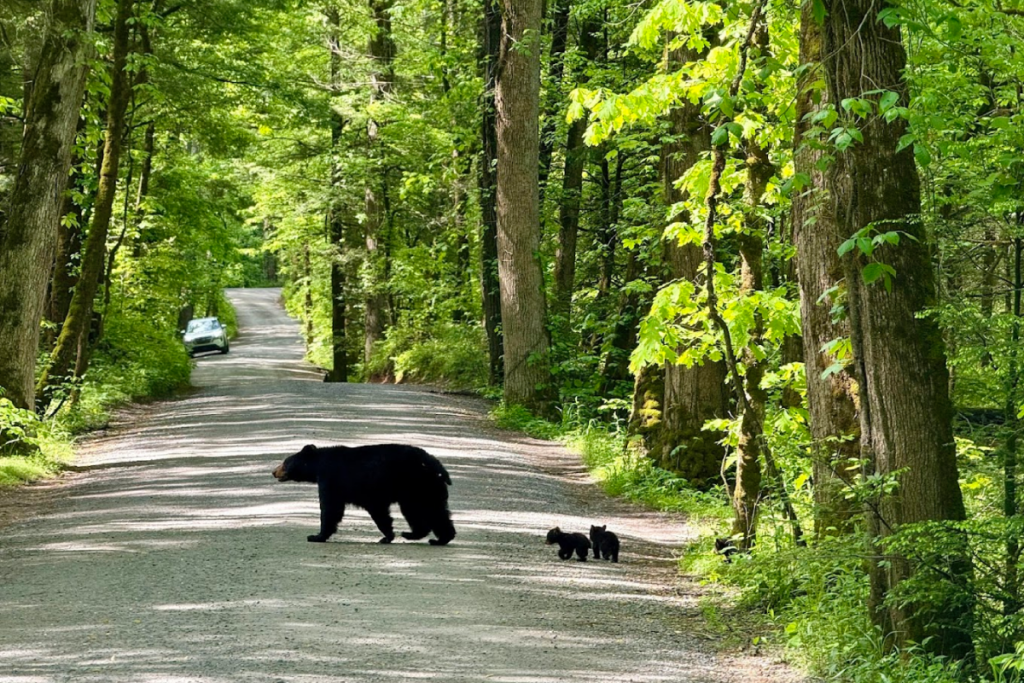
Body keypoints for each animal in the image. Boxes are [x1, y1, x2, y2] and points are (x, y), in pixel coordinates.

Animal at [272, 443, 455, 546]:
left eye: (285, 462)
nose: (273, 472)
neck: (318, 466)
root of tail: (435, 464)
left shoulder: (331, 479)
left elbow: (331, 508)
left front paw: (316, 536)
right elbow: (380, 512)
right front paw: (388, 536)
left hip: (416, 486)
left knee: (422, 510)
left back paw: (422, 536)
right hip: (427, 488)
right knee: (434, 512)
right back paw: (437, 538)